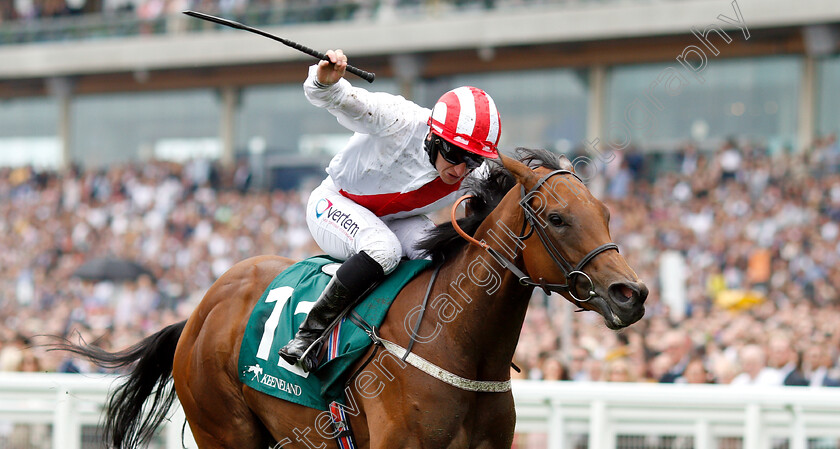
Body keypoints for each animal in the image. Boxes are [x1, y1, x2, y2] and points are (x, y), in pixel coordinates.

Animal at [67, 150, 644, 448]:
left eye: (606, 214)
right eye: (557, 218)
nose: (631, 294)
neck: (458, 347)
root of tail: (200, 310)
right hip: (224, 428)